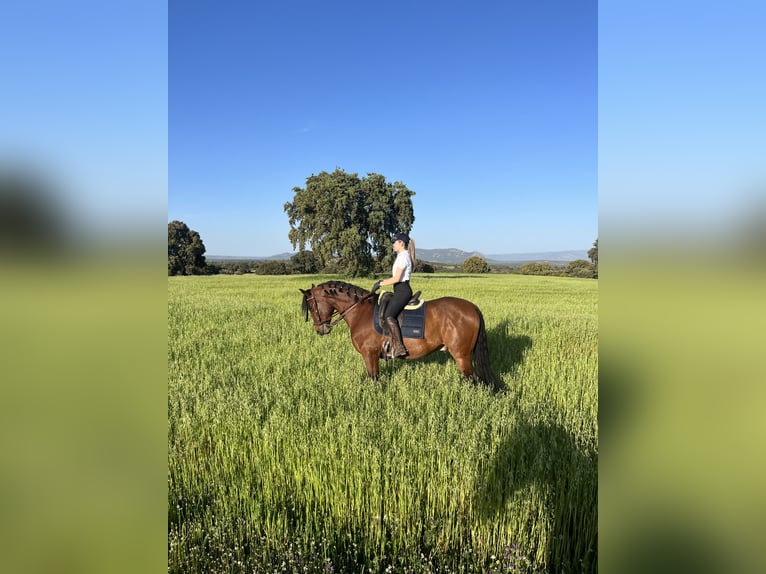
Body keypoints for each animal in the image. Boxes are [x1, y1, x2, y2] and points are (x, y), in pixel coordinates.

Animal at [296, 280, 500, 392]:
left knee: (473, 380)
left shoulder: (369, 354)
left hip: (461, 356)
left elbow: (373, 379)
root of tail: (472, 308)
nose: (320, 330)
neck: (360, 312)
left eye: (312, 306)